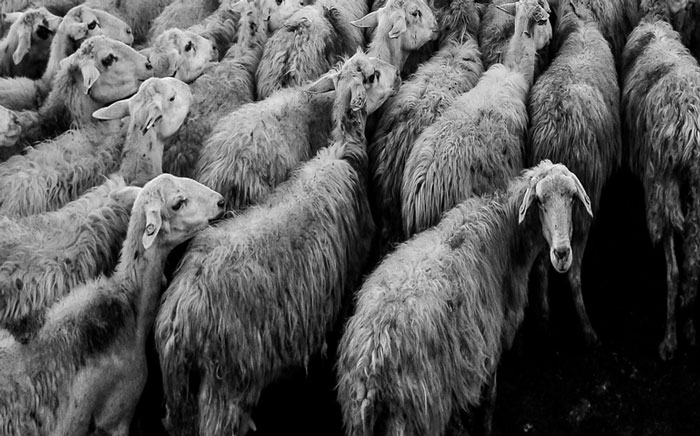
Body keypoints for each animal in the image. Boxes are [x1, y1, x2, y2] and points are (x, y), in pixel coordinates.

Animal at [156, 51, 400, 436]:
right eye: (374, 75)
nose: (400, 73)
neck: (343, 150)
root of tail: (180, 313)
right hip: (226, 382)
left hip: (178, 391)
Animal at [338, 161, 593, 436]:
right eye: (541, 200)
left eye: (572, 198)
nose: (562, 254)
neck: (507, 237)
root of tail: (369, 366)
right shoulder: (490, 345)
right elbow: (489, 401)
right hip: (413, 415)